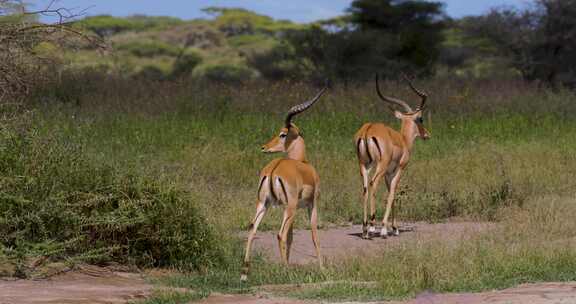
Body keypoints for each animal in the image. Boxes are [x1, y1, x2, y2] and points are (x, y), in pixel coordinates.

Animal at [241, 85, 326, 280]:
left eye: (282, 134)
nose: (264, 147)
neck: (303, 163)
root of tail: (273, 170)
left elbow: (292, 237)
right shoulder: (312, 204)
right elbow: (314, 235)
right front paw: (322, 268)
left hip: (264, 204)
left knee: (252, 229)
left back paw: (244, 273)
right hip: (290, 207)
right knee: (280, 234)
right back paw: (285, 271)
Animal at [354, 75, 430, 239]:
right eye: (420, 119)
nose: (427, 134)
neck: (403, 140)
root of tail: (368, 130)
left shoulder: (389, 173)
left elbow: (391, 193)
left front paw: (394, 228)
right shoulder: (400, 169)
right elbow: (394, 191)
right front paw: (386, 229)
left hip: (364, 166)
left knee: (365, 187)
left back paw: (364, 229)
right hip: (380, 166)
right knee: (373, 184)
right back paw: (372, 227)